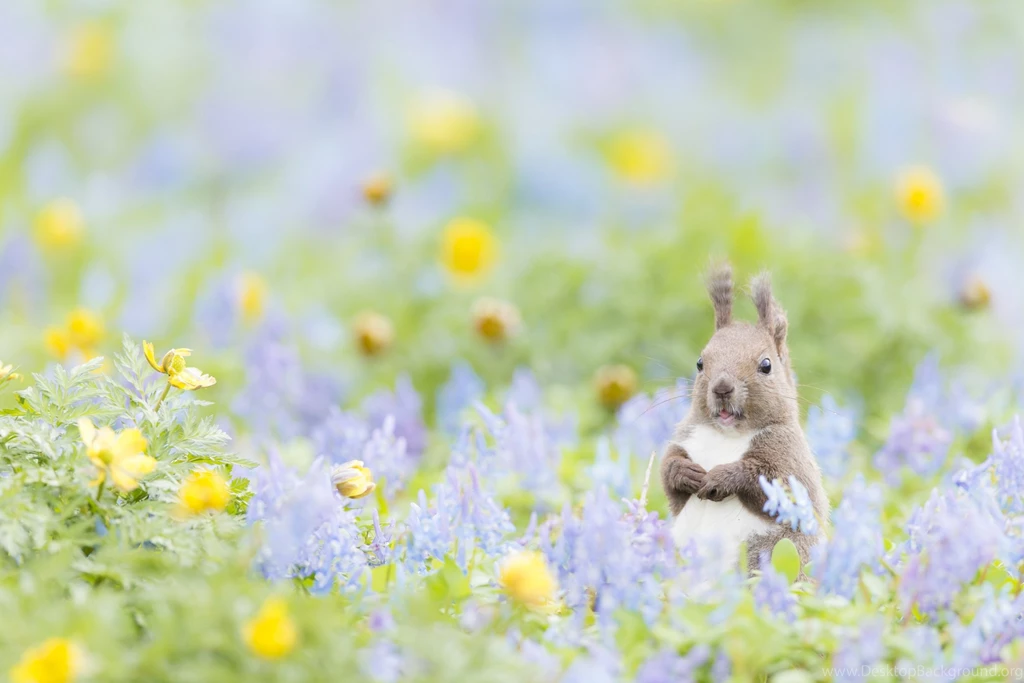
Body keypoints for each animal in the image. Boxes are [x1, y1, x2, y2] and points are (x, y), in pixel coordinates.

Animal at [660, 263, 829, 573]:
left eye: (766, 365)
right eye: (700, 362)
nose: (722, 388)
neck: (727, 434)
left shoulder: (790, 456)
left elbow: (771, 480)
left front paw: (722, 477)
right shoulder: (687, 437)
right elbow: (667, 473)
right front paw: (684, 472)